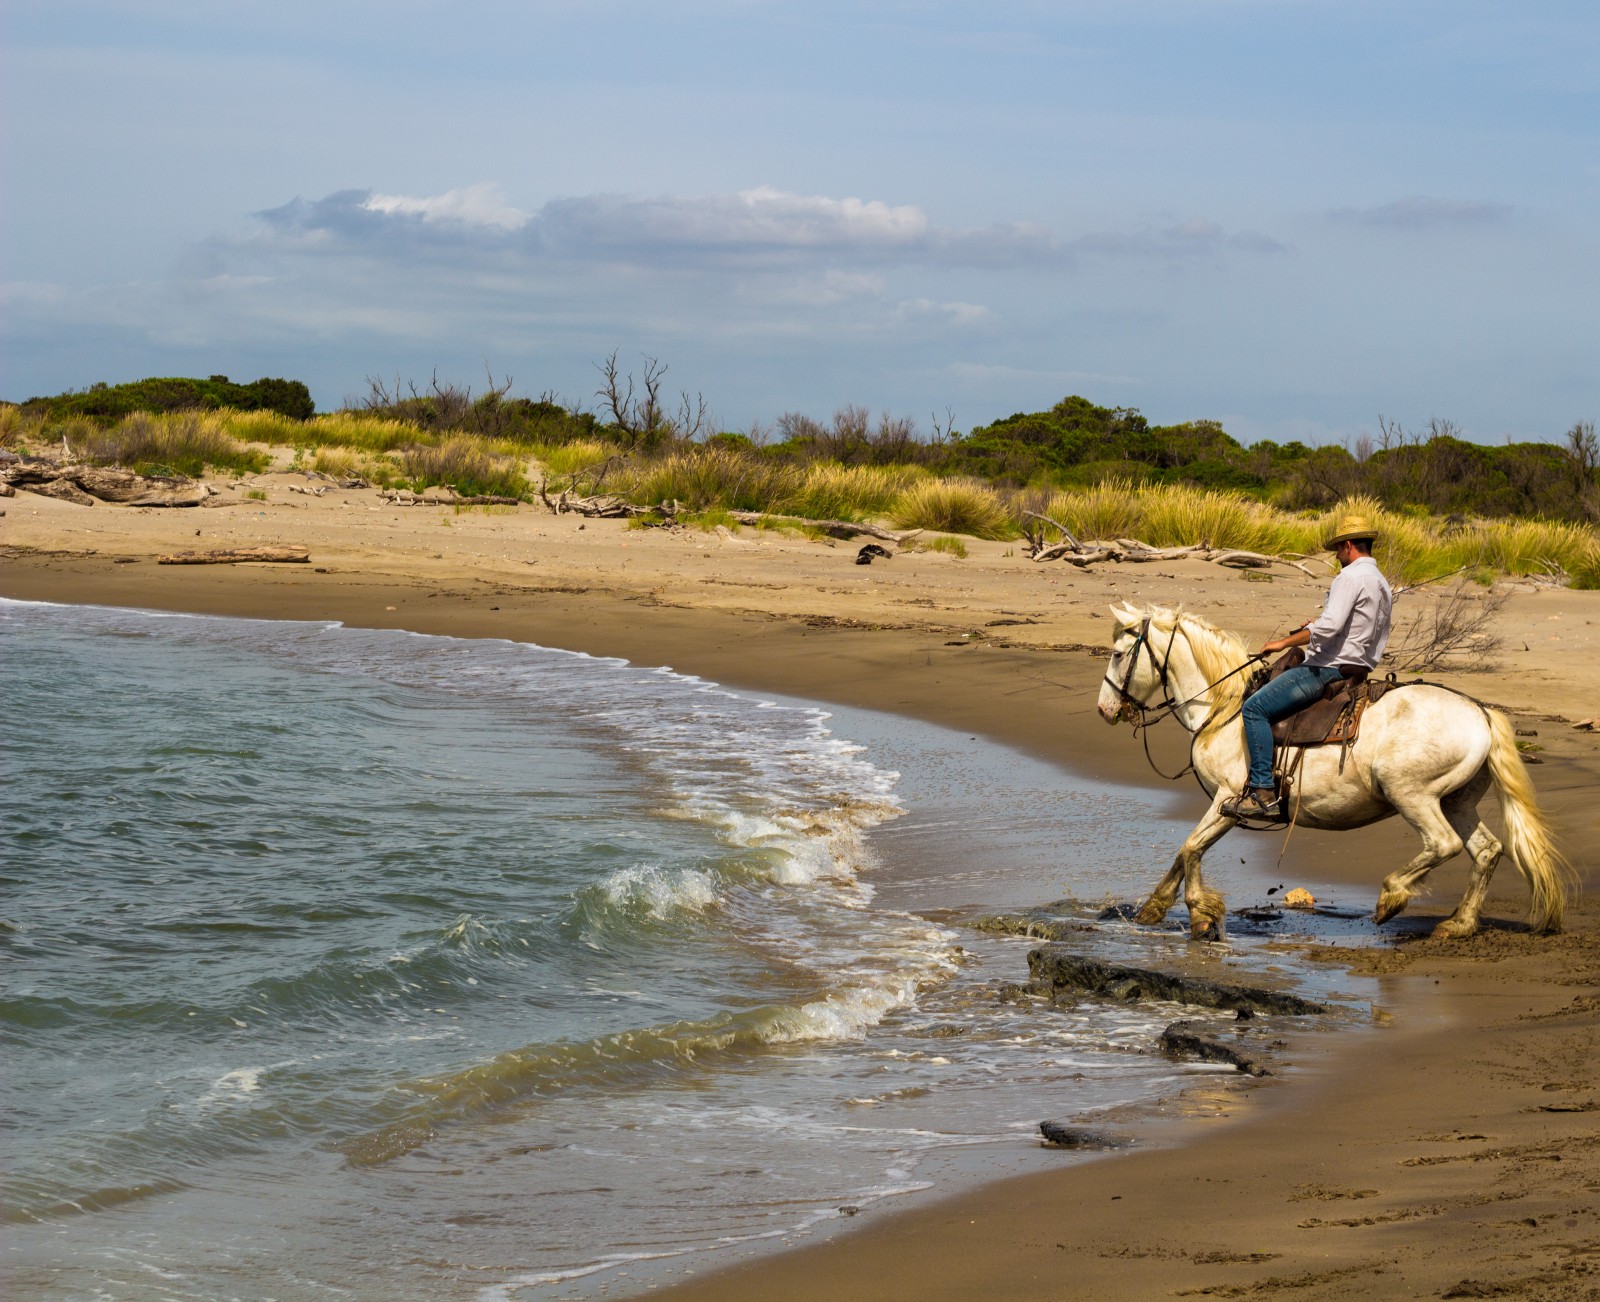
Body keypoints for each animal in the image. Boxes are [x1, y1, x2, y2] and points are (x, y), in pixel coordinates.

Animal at [1094, 607, 1568, 940]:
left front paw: (1199, 915)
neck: (1223, 708)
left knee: (1443, 844)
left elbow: (1191, 849)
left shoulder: (1228, 801)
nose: (1104, 709)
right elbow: (1184, 852)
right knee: (1486, 851)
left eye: (1118, 655)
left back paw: (1391, 897)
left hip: (1411, 795)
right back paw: (1459, 924)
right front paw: (1154, 908)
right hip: (1456, 801)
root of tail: (1481, 713)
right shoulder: (1222, 807)